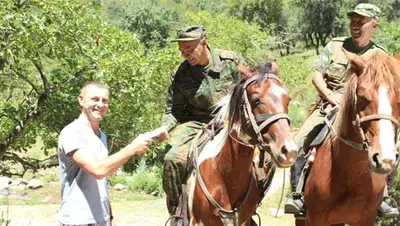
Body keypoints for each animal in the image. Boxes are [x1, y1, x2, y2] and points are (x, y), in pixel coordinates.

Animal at [188, 62, 296, 226]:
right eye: (256, 99)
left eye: (287, 99)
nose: (289, 151)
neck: (226, 174)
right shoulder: (197, 221)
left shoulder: (244, 221)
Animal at [296, 51, 400, 226]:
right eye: (362, 97)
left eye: (399, 101)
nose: (384, 160)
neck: (351, 175)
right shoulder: (313, 218)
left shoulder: (367, 219)